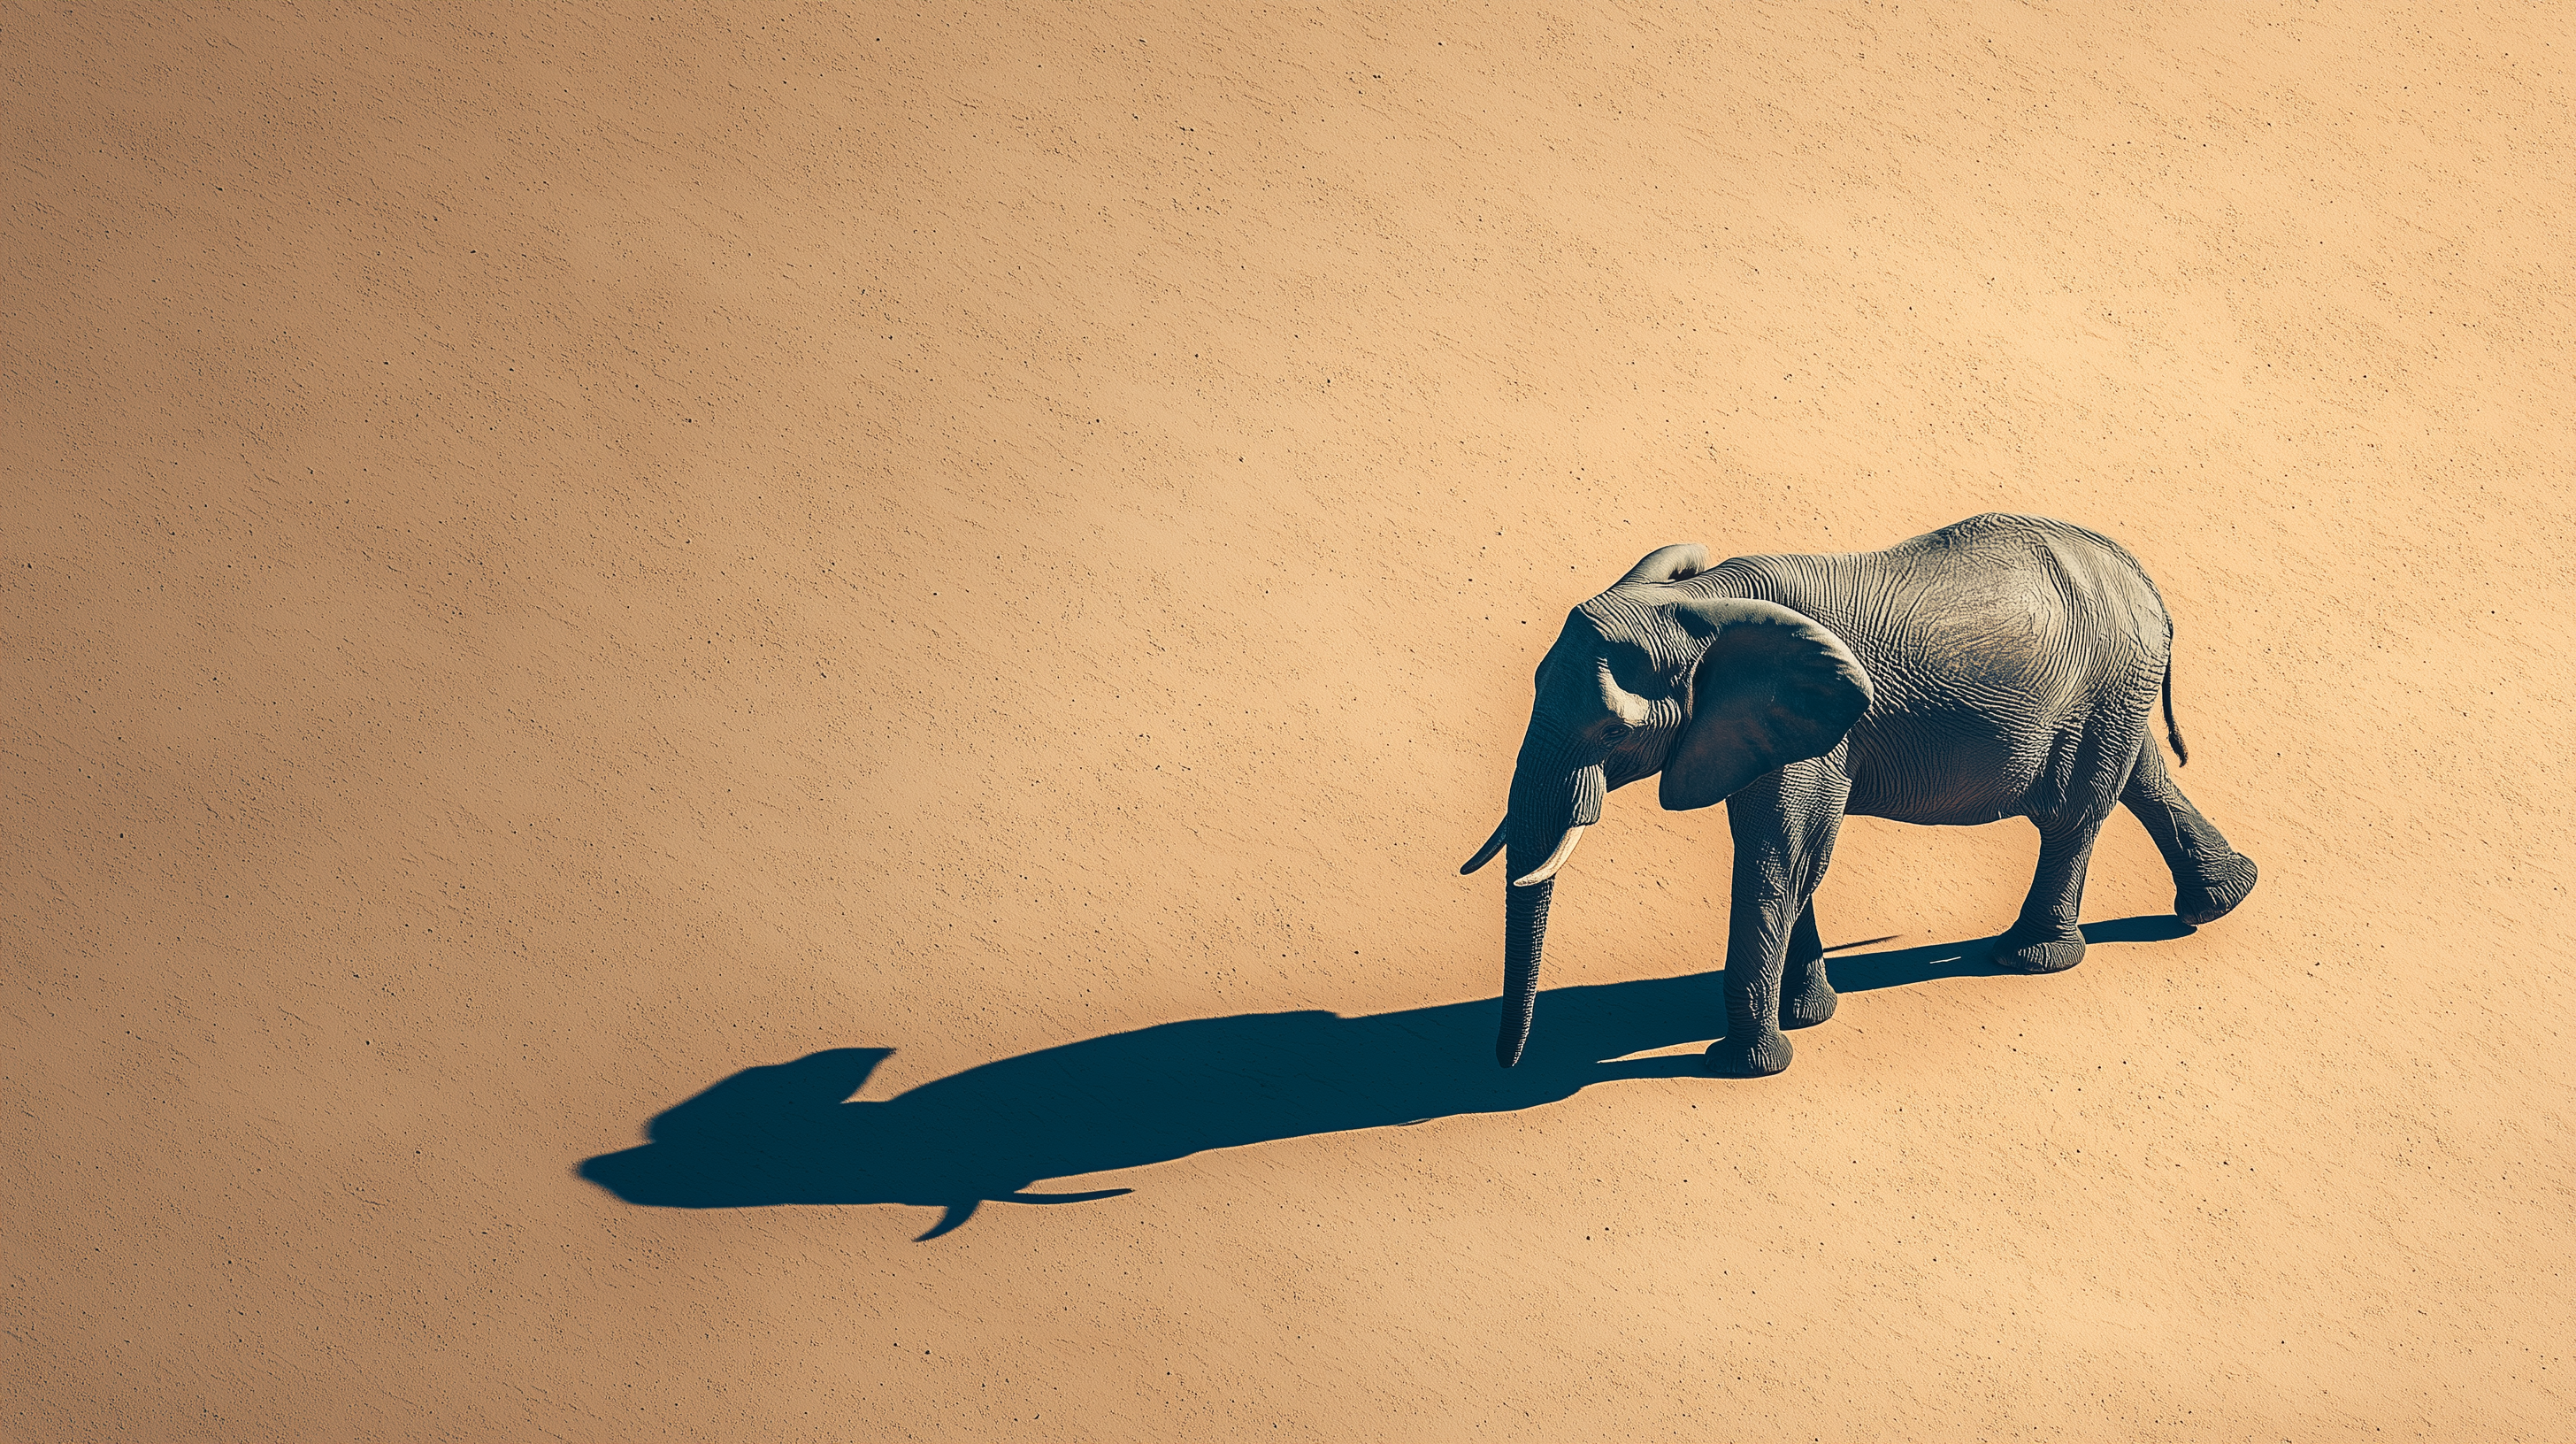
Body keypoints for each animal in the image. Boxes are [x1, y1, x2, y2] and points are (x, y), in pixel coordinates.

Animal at [1460, 512, 2257, 1077]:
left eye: (1610, 730)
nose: (1506, 1065)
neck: (1699, 600)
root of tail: (2143, 578)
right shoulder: (1758, 727)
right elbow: (1793, 854)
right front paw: (1808, 1016)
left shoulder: (1815, 731)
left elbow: (1780, 856)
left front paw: (1746, 1064)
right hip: (2118, 688)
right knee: (2141, 778)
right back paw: (2222, 901)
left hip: (2107, 683)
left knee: (2074, 811)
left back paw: (2029, 957)